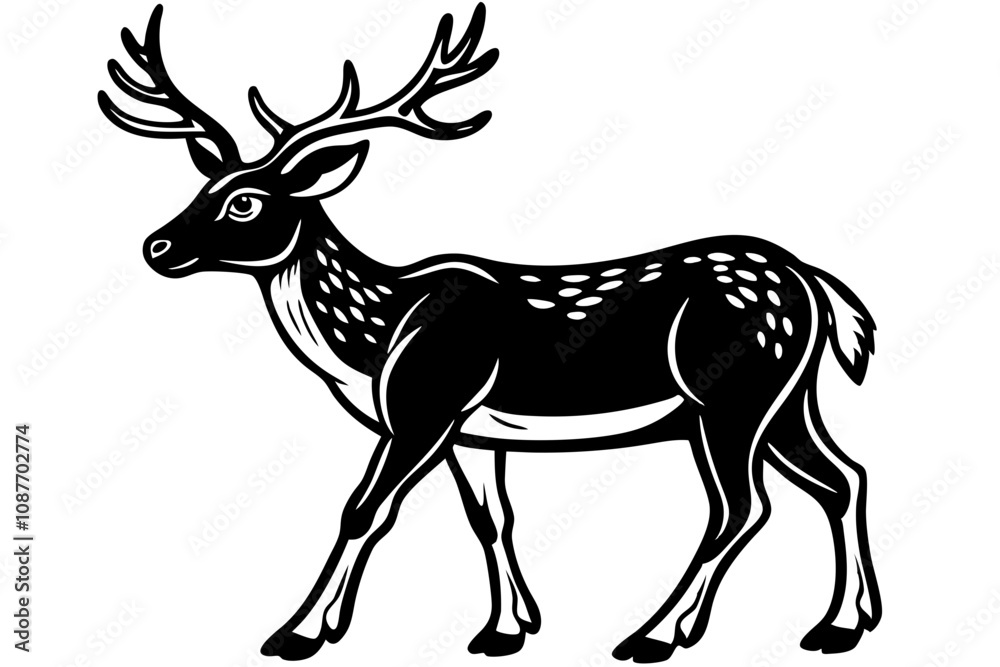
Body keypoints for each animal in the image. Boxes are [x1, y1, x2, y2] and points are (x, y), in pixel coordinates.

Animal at [99, 4, 882, 663]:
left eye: (244, 202)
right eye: (202, 187)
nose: (157, 247)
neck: (372, 337)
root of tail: (815, 283)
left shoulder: (427, 401)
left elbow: (362, 510)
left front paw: (300, 632)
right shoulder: (474, 430)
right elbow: (491, 518)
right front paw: (507, 629)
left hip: (729, 393)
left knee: (742, 508)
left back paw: (655, 635)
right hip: (786, 396)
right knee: (842, 477)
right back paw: (841, 625)